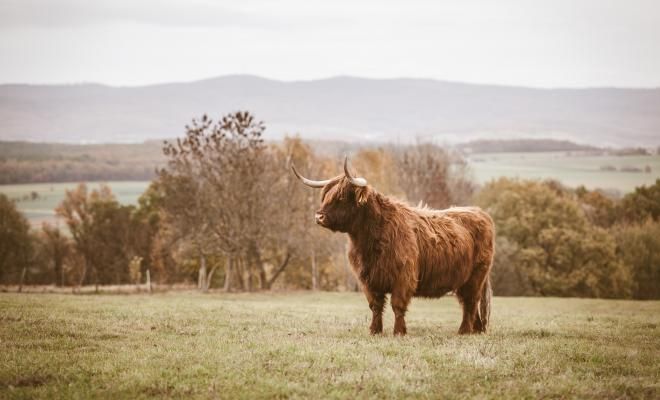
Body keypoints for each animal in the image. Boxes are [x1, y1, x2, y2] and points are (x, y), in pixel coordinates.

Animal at [292, 157, 496, 334]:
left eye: (341, 197)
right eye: (325, 196)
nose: (319, 216)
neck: (369, 240)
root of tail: (481, 213)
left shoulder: (403, 276)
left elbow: (397, 305)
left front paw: (399, 332)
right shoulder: (368, 279)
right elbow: (375, 306)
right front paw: (374, 331)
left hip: (475, 276)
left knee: (470, 302)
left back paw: (464, 331)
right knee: (470, 304)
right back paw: (476, 330)